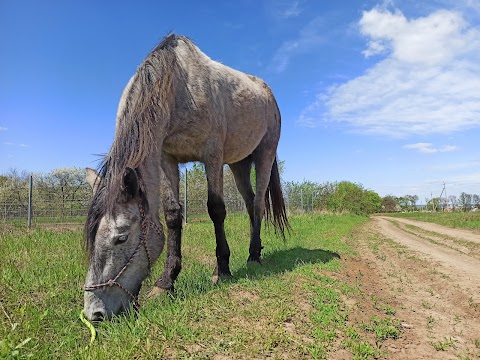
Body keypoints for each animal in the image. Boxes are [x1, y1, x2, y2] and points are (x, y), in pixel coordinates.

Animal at [82, 33, 288, 320]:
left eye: (121, 238)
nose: (95, 313)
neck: (179, 87)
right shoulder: (166, 159)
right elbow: (172, 215)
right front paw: (166, 282)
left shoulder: (212, 156)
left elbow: (216, 210)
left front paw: (222, 270)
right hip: (239, 163)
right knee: (249, 203)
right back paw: (253, 250)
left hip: (264, 153)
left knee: (258, 204)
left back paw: (253, 257)